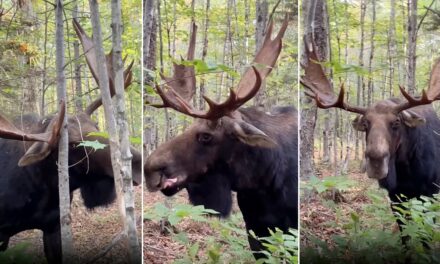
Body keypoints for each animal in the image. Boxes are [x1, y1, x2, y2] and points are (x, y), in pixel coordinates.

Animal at [300, 39, 440, 231]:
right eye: (366, 124)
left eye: (396, 122)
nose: (375, 162)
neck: (407, 169)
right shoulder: (395, 196)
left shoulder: (431, 193)